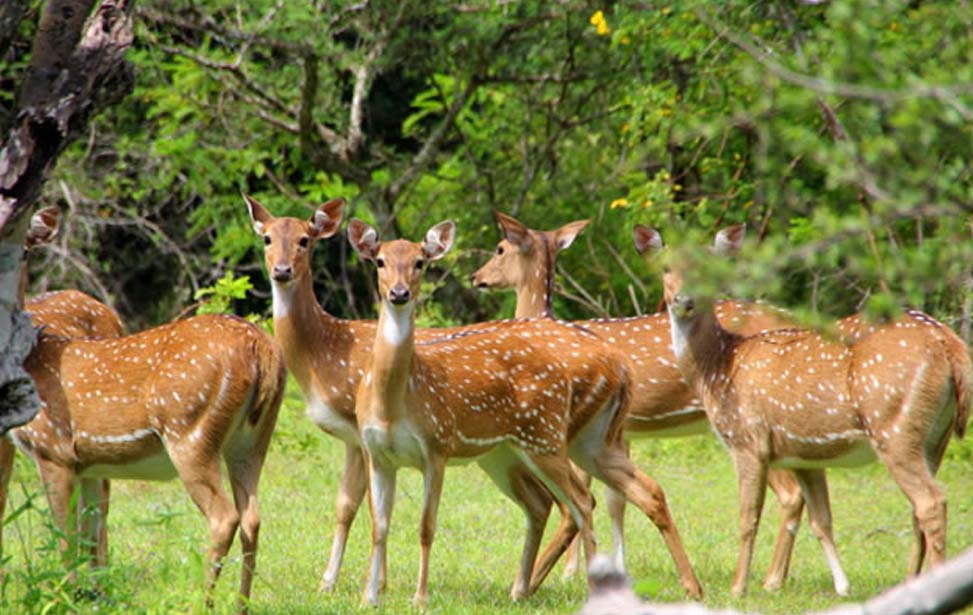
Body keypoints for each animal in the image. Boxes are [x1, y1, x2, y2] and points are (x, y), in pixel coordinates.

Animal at [470, 213, 804, 592]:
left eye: (500, 248)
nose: (476, 277)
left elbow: (589, 498)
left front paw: (571, 573)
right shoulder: (619, 433)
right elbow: (615, 500)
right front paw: (612, 566)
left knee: (791, 493)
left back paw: (770, 580)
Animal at [656, 225, 968, 596]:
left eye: (708, 267)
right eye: (665, 267)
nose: (684, 301)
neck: (718, 368)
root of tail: (950, 343)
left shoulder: (747, 439)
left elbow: (748, 518)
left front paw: (738, 588)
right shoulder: (803, 454)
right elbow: (821, 521)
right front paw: (842, 587)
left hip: (893, 426)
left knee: (931, 502)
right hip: (936, 438)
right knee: (917, 508)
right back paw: (910, 583)